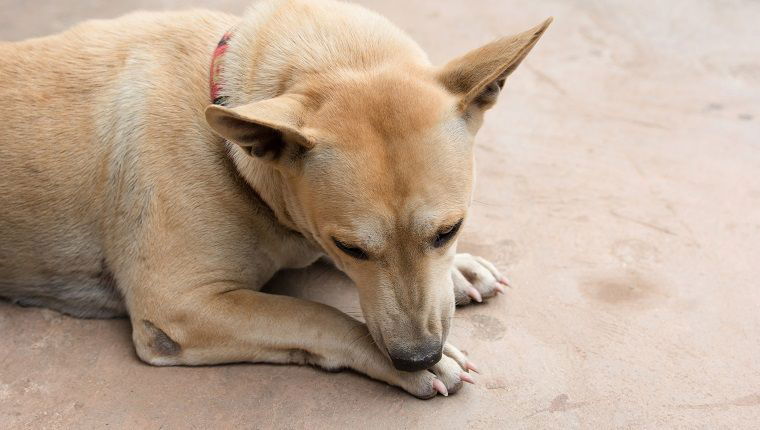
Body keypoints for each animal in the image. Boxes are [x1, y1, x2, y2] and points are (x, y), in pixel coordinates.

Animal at [0, 0, 548, 400]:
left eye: (449, 231)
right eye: (351, 247)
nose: (418, 357)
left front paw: (459, 269)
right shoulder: (178, 307)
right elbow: (314, 314)